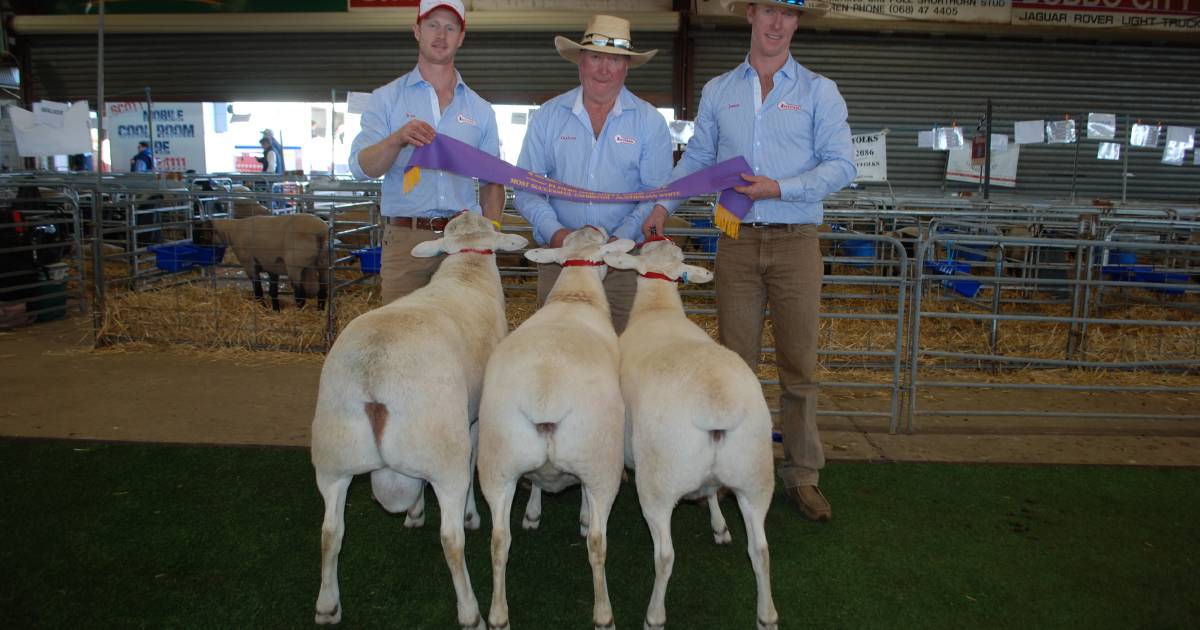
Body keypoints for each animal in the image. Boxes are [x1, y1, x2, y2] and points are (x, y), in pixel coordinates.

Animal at [312, 208, 528, 624]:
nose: (468, 208)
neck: (466, 268)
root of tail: (375, 375)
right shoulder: (473, 418)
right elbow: (473, 462)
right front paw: (467, 515)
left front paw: (414, 512)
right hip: (442, 450)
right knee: (450, 539)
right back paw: (470, 611)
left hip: (333, 456)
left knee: (330, 532)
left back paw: (327, 605)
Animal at [475, 225, 638, 628]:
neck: (575, 296)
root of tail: (544, 396)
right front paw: (578, 514)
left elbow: (536, 481)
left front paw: (533, 512)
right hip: (599, 459)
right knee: (597, 540)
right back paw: (603, 613)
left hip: (498, 462)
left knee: (498, 540)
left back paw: (498, 615)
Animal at [604, 237, 782, 628]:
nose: (660, 236)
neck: (657, 308)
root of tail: (715, 401)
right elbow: (712, 490)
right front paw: (719, 526)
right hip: (755, 475)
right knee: (761, 549)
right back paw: (767, 615)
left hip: (659, 482)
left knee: (665, 556)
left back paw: (654, 615)